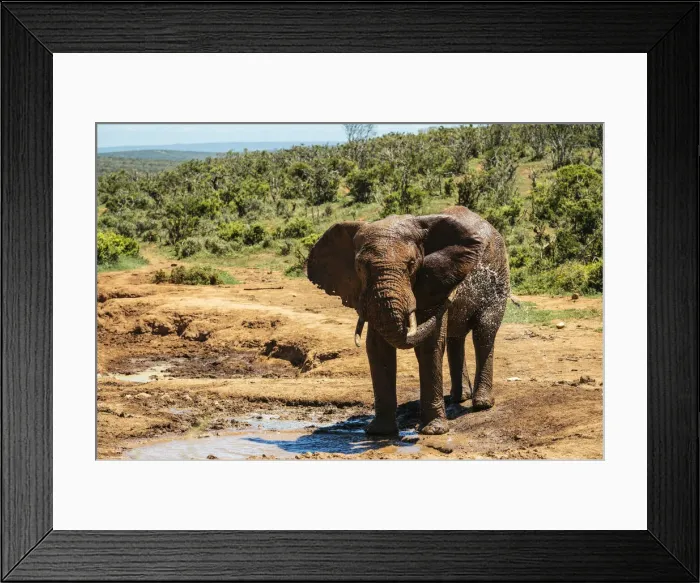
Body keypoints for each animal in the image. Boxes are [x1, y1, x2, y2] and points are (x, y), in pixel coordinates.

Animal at [307, 205, 510, 436]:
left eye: (412, 265)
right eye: (359, 267)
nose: (453, 293)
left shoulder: (433, 282)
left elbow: (430, 345)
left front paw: (434, 430)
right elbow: (377, 347)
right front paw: (379, 432)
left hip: (499, 276)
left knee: (484, 333)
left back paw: (482, 404)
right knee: (455, 339)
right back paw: (459, 398)